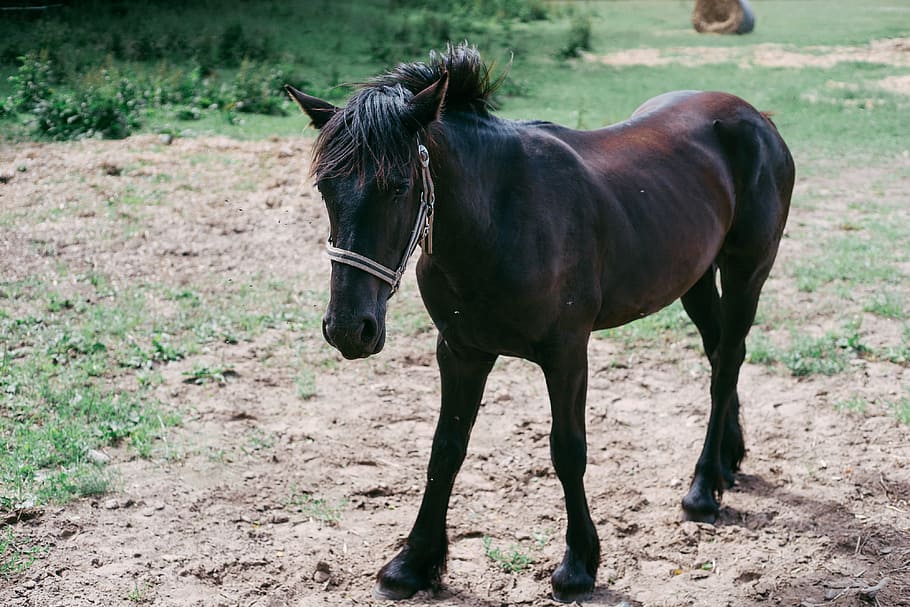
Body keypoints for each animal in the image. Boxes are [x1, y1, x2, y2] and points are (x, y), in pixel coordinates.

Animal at [286, 43, 794, 603]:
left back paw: (704, 489)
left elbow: (567, 449)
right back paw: (728, 459)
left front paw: (578, 565)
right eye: (325, 188)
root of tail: (757, 118)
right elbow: (446, 449)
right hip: (696, 277)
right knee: (719, 352)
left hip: (747, 270)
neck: (499, 220)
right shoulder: (460, 352)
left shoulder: (566, 353)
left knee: (727, 363)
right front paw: (413, 562)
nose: (348, 329)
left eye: (398, 187)